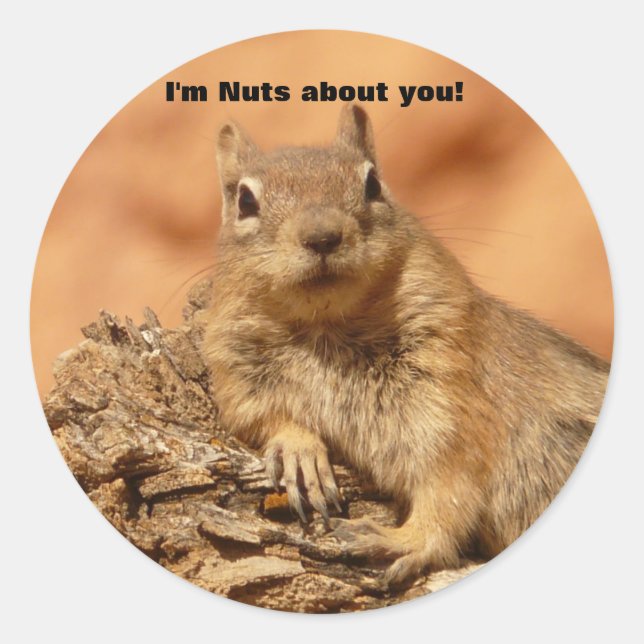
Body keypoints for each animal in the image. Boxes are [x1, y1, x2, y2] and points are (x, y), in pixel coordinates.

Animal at [203, 104, 610, 587]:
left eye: (373, 184)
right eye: (245, 201)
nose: (322, 237)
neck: (326, 329)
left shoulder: (451, 400)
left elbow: (449, 489)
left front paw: (401, 539)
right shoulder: (238, 372)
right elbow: (259, 416)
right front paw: (299, 450)